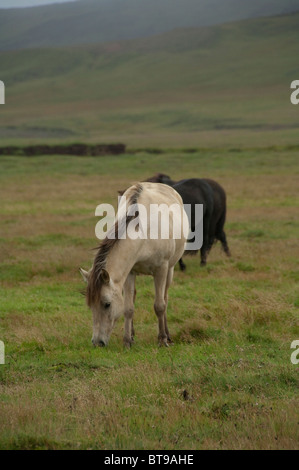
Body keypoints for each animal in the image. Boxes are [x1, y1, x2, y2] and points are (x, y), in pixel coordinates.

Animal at [79, 182, 188, 346]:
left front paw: (162, 339)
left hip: (170, 269)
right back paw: (132, 334)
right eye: (90, 305)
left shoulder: (161, 269)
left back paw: (167, 335)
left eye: (107, 304)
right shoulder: (129, 272)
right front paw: (127, 341)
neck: (144, 232)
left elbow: (159, 305)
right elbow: (128, 308)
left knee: (165, 298)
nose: (97, 342)